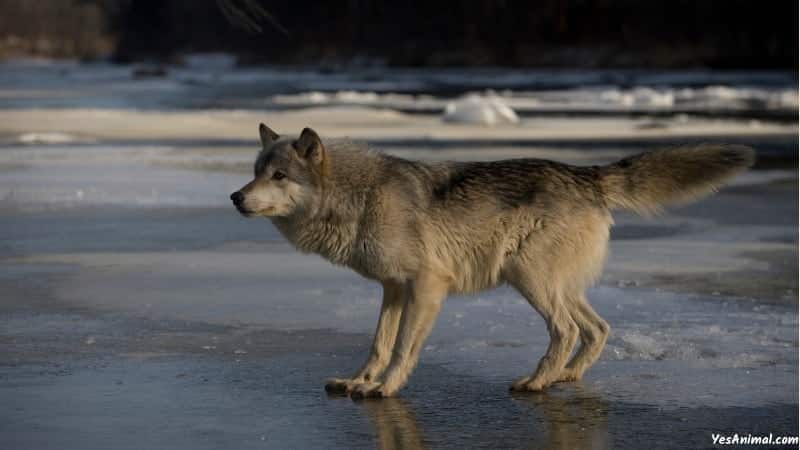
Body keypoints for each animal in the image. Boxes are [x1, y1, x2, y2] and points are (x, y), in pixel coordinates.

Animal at [230, 124, 752, 400]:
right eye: (255, 171)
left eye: (279, 176)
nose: (235, 197)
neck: (357, 197)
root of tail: (585, 174)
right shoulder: (393, 288)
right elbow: (377, 344)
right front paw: (357, 381)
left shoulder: (427, 286)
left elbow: (401, 349)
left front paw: (385, 389)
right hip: (553, 284)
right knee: (598, 328)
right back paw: (564, 377)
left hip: (528, 279)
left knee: (565, 330)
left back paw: (537, 382)